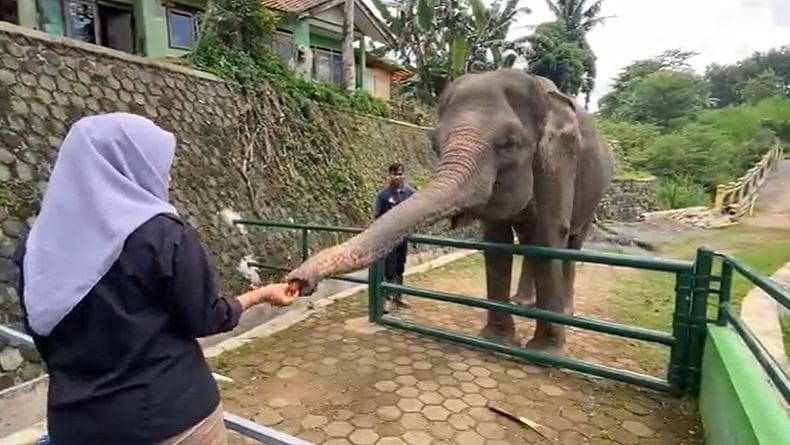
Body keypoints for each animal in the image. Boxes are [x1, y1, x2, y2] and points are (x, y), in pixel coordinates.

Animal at [286, 68, 620, 350]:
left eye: (509, 144)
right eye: (434, 142)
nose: (296, 281)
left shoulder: (559, 163)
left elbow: (551, 236)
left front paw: (545, 350)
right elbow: (496, 244)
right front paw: (497, 339)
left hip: (594, 192)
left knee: (570, 242)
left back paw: (565, 311)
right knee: (529, 241)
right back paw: (521, 302)